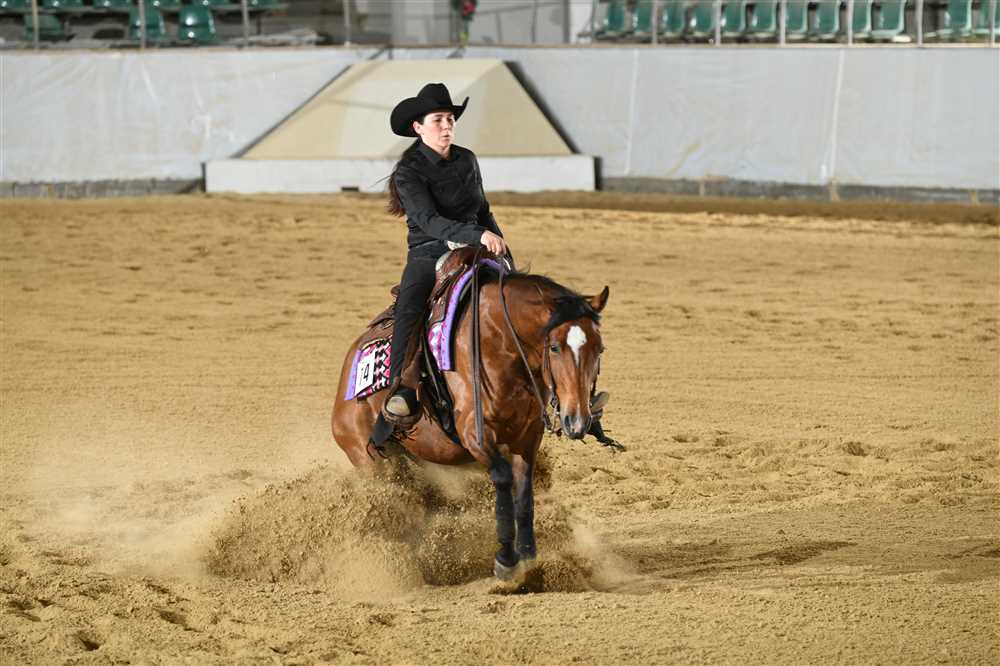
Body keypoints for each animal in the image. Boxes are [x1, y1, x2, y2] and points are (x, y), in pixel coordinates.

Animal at [331, 257, 611, 580]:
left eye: (599, 348)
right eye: (554, 347)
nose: (576, 420)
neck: (499, 343)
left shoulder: (527, 436)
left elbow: (524, 493)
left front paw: (528, 556)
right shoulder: (474, 434)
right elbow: (503, 477)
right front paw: (506, 559)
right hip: (369, 459)